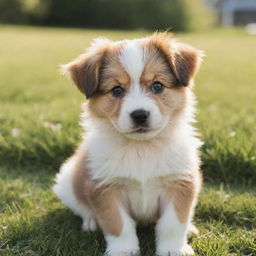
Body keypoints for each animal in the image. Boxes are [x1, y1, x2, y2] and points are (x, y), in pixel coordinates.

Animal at [53, 32, 203, 256]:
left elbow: (172, 225)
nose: (140, 115)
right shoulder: (105, 188)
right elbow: (118, 225)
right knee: (82, 208)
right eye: (116, 90)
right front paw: (123, 250)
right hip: (67, 181)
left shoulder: (180, 183)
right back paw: (90, 222)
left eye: (157, 86)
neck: (141, 148)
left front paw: (173, 249)